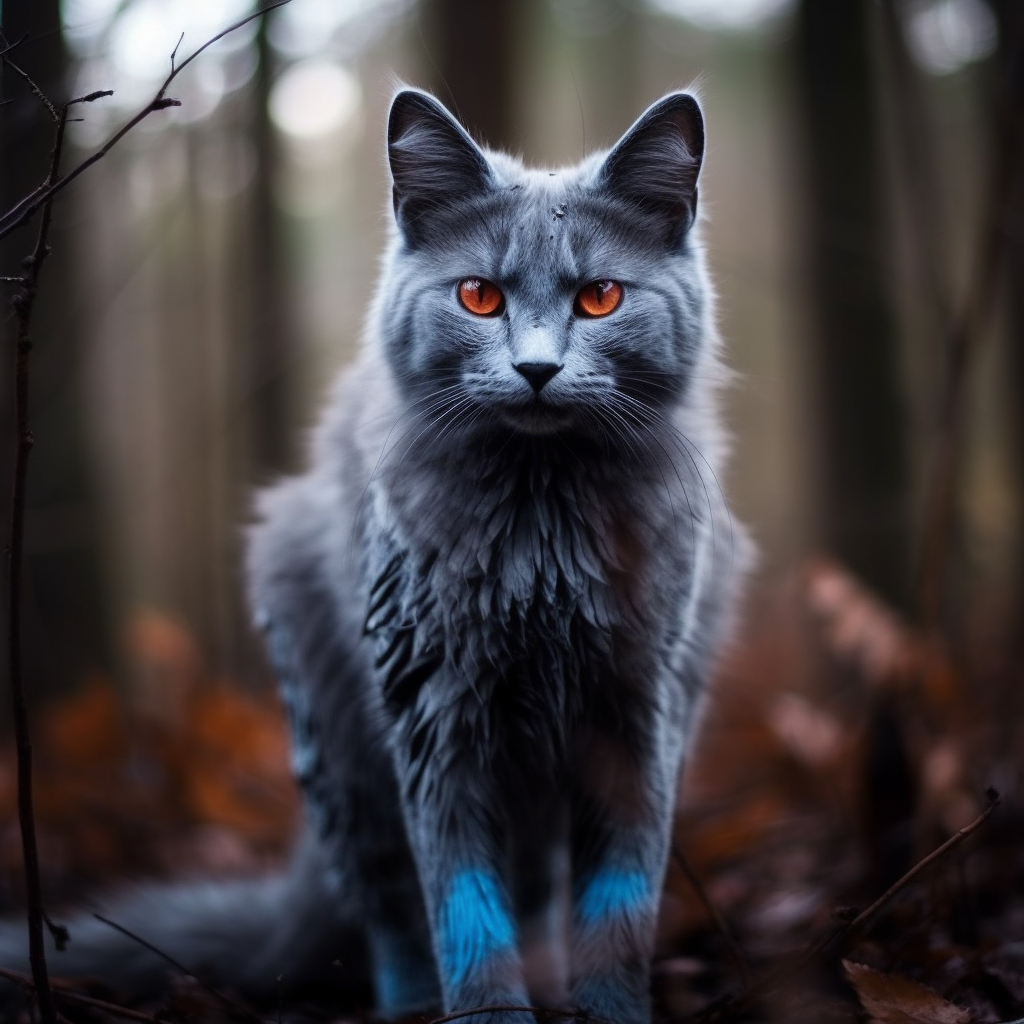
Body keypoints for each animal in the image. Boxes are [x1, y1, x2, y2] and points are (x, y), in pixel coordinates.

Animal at [4, 88, 749, 1024]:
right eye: (478, 296)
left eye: (601, 298)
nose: (537, 369)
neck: (541, 538)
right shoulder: (433, 709)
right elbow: (464, 911)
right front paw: (491, 1015)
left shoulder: (639, 710)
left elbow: (621, 902)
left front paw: (608, 1012)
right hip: (342, 753)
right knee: (395, 913)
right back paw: (414, 1008)